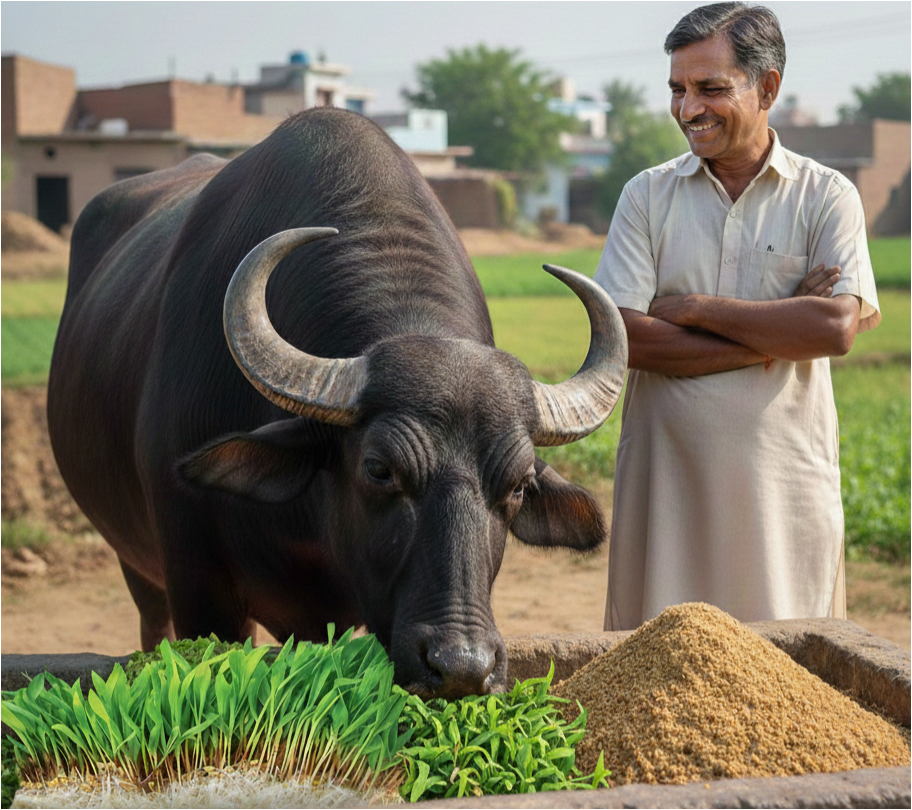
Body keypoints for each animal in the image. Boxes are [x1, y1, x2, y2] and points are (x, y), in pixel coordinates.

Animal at [47, 108, 627, 699]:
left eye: (518, 485)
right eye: (378, 469)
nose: (463, 667)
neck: (302, 525)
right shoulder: (198, 588)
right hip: (136, 565)